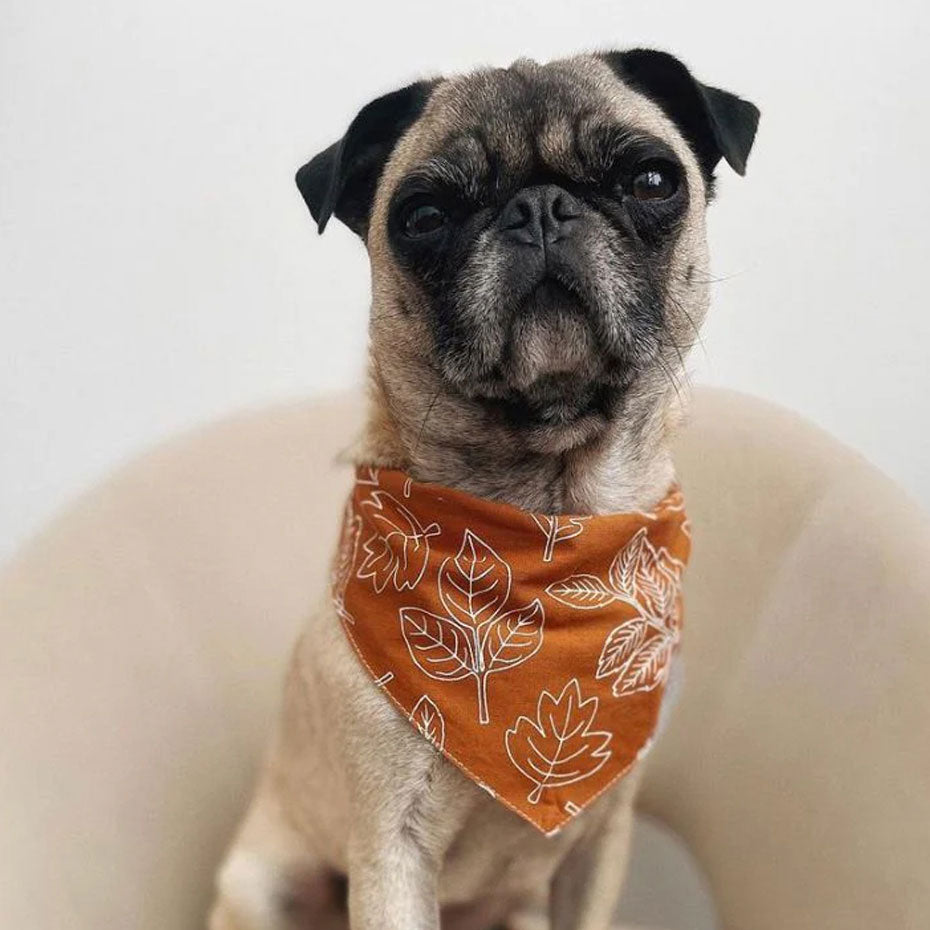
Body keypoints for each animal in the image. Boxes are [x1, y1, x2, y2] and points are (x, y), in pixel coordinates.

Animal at [208, 49, 752, 928]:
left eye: (650, 180)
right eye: (424, 215)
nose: (539, 207)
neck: (546, 522)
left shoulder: (600, 840)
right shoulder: (391, 852)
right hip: (265, 887)